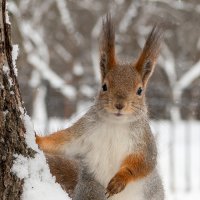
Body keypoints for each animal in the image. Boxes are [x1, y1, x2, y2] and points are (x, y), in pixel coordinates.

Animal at [35, 14, 164, 200]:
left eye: (140, 90)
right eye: (104, 86)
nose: (119, 105)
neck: (116, 124)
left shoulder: (145, 142)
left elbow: (144, 163)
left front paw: (119, 180)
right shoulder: (83, 132)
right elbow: (62, 142)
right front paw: (37, 140)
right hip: (91, 188)